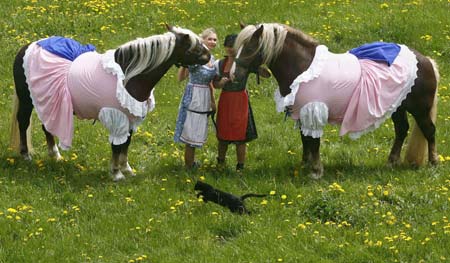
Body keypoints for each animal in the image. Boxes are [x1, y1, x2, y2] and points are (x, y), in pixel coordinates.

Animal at [10, 24, 211, 182]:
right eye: (194, 47)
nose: (209, 56)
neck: (128, 77)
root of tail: (27, 47)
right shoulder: (117, 117)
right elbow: (116, 145)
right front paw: (116, 174)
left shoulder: (130, 118)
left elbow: (126, 144)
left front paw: (126, 169)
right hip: (27, 100)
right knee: (23, 123)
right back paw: (26, 155)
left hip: (50, 101)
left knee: (47, 126)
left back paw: (55, 155)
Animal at [232, 23, 440, 179]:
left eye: (250, 48)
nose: (234, 74)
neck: (304, 67)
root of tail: (426, 60)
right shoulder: (302, 112)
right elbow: (305, 139)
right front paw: (305, 164)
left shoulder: (313, 110)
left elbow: (314, 141)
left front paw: (316, 171)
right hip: (398, 107)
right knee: (402, 129)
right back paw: (391, 162)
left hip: (420, 109)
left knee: (429, 130)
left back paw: (433, 163)